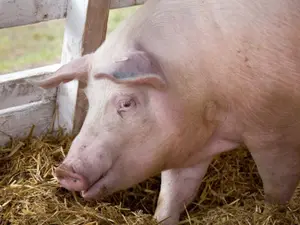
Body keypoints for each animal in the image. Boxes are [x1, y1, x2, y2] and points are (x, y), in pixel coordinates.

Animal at [34, 0, 300, 224]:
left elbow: (276, 189)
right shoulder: (184, 142)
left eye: (127, 103)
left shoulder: (275, 132)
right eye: (90, 99)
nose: (64, 170)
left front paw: (271, 214)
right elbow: (173, 193)